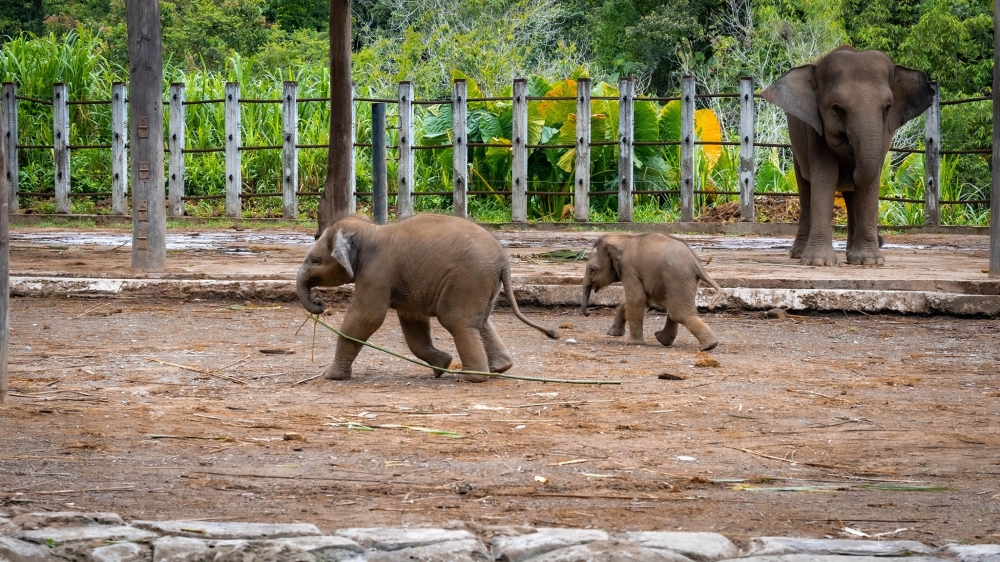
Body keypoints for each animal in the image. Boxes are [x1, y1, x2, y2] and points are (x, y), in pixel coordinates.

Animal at [296, 213, 559, 382]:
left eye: (315, 261)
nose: (320, 305)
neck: (370, 229)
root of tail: (504, 261)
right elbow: (413, 322)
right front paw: (442, 365)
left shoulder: (376, 272)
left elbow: (366, 318)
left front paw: (331, 376)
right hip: (483, 283)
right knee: (481, 322)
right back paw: (498, 369)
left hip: (467, 279)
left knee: (456, 320)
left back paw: (472, 377)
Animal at [580, 233, 722, 351]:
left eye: (592, 269)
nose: (588, 313)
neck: (623, 238)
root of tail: (698, 265)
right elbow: (636, 299)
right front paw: (613, 334)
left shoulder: (628, 268)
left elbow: (636, 298)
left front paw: (633, 343)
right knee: (674, 309)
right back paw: (664, 340)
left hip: (677, 277)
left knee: (679, 313)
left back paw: (708, 346)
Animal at [761, 46, 933, 266]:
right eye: (837, 108)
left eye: (887, 107)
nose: (882, 239)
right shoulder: (815, 130)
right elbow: (825, 175)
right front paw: (819, 262)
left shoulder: (885, 132)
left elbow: (871, 179)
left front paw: (869, 262)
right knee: (806, 189)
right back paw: (799, 254)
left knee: (851, 198)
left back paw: (852, 256)